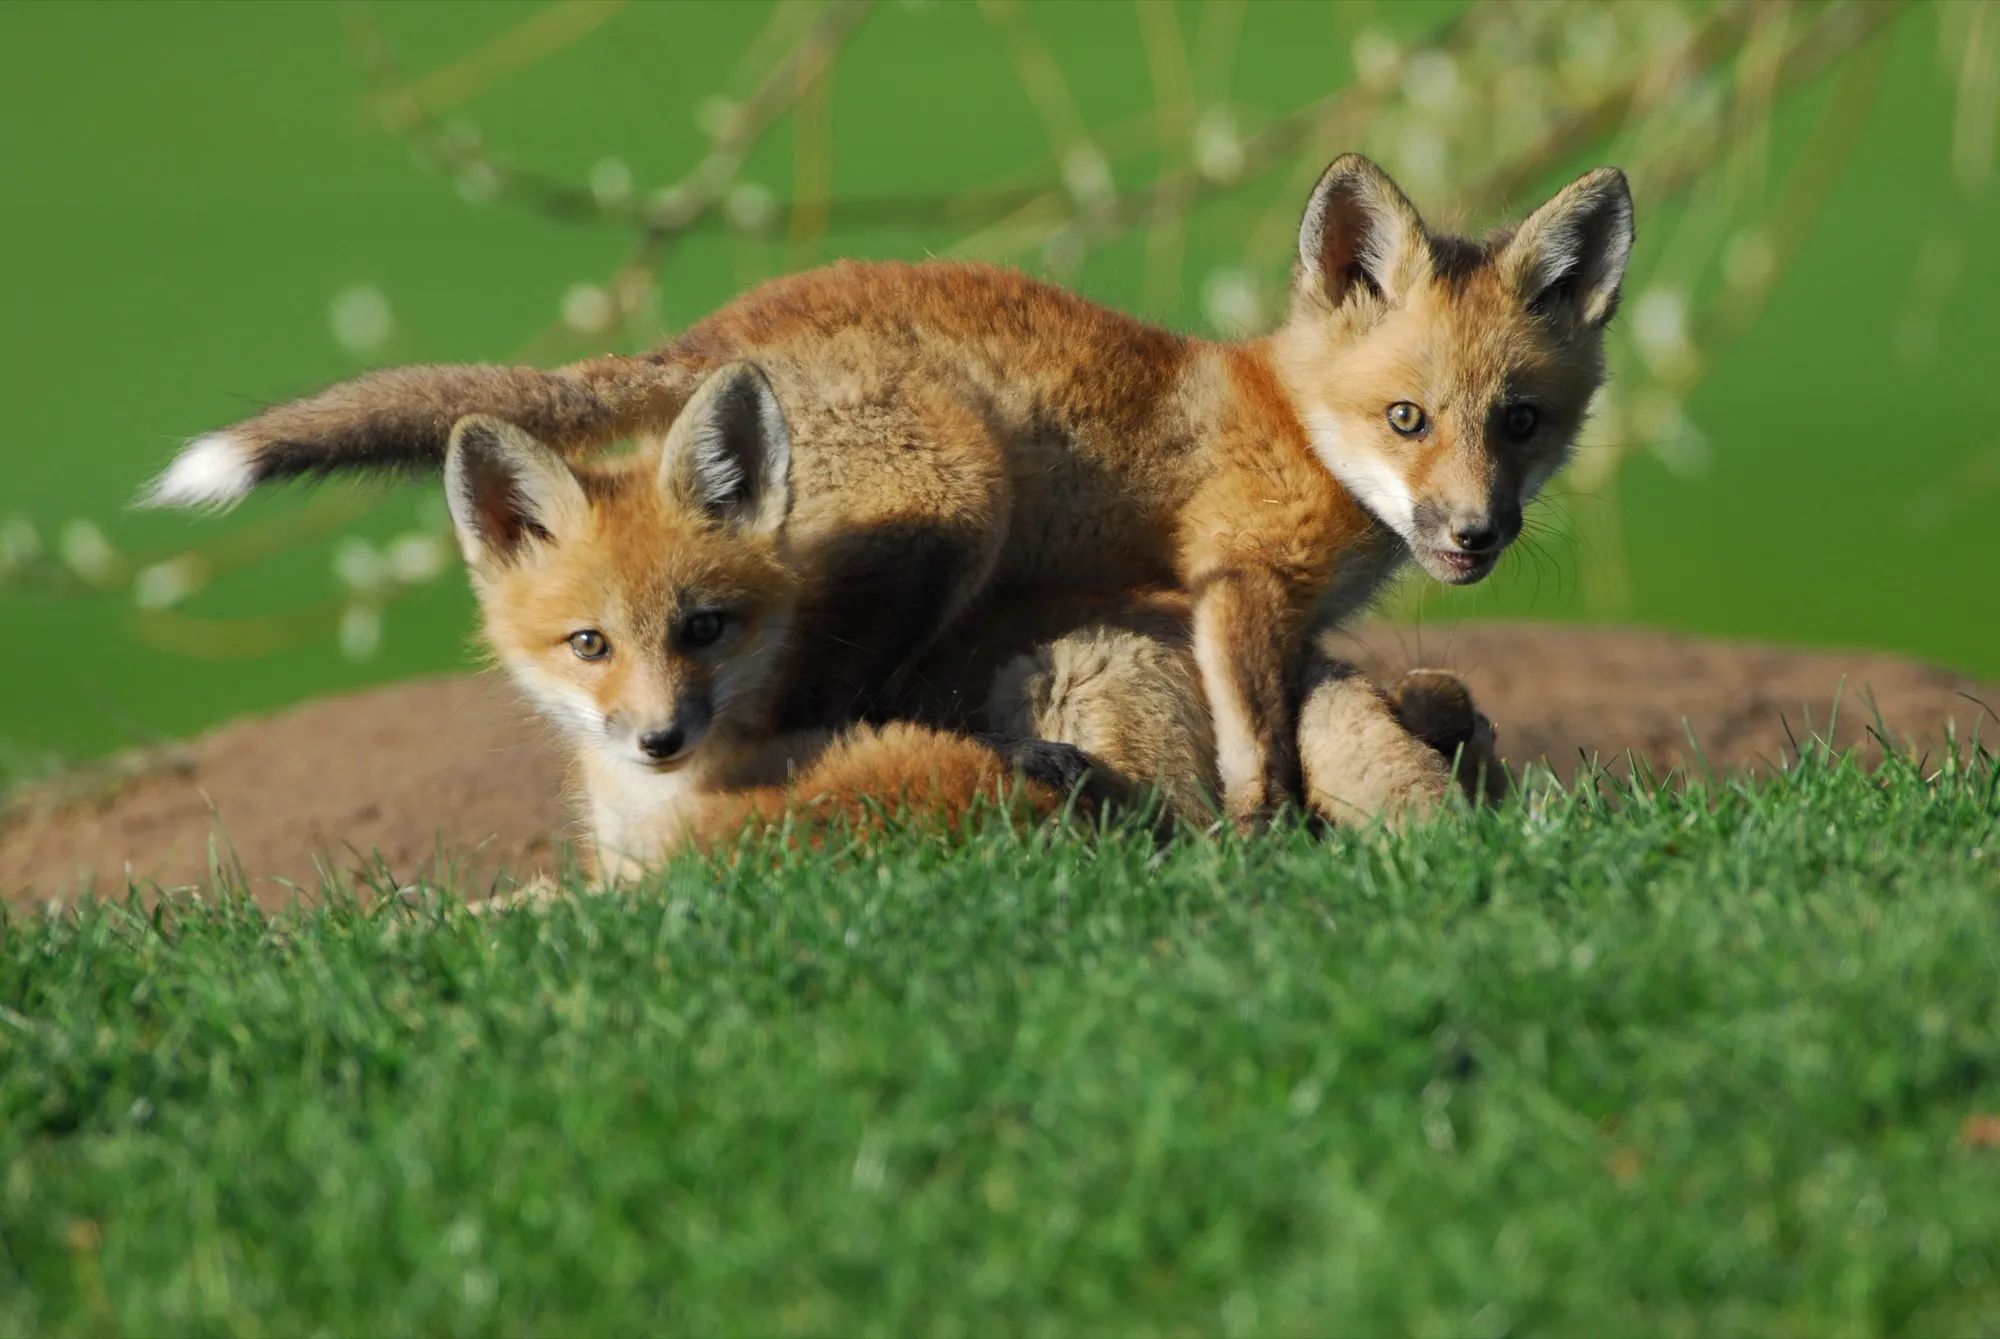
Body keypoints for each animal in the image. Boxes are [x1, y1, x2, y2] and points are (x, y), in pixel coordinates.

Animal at [142, 154, 1631, 827]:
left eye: (1521, 423)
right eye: (1407, 419)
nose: (1474, 534)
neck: (1290, 420)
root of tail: (719, 329)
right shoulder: (1237, 583)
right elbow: (1255, 747)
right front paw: (1268, 842)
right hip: (959, 498)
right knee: (830, 694)